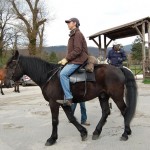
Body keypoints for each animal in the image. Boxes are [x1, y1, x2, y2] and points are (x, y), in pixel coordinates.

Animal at [4, 50, 138, 145]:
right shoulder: (64, 103)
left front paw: (52, 139)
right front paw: (83, 132)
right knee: (105, 112)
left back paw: (125, 133)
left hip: (116, 96)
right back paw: (97, 132)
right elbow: (72, 118)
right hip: (103, 96)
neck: (48, 76)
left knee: (125, 111)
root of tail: (119, 68)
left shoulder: (53, 103)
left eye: (12, 65)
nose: (6, 83)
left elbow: (55, 120)